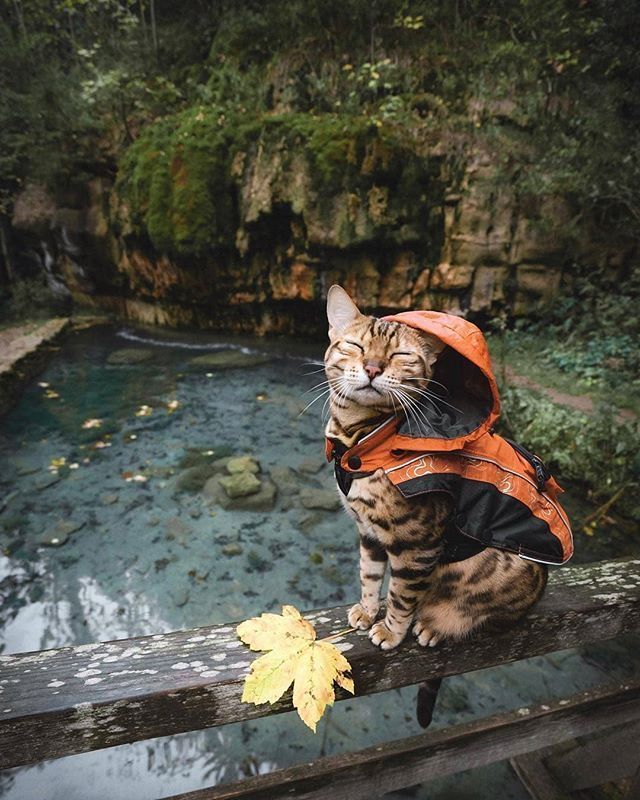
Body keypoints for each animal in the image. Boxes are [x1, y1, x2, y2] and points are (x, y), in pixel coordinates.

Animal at [324, 286, 552, 724]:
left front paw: (390, 630)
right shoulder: (368, 532)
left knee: (491, 618)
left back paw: (435, 625)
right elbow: (369, 575)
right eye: (356, 346)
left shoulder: (417, 544)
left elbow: (400, 595)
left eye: (400, 355)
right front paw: (367, 610)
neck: (361, 439)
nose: (373, 367)